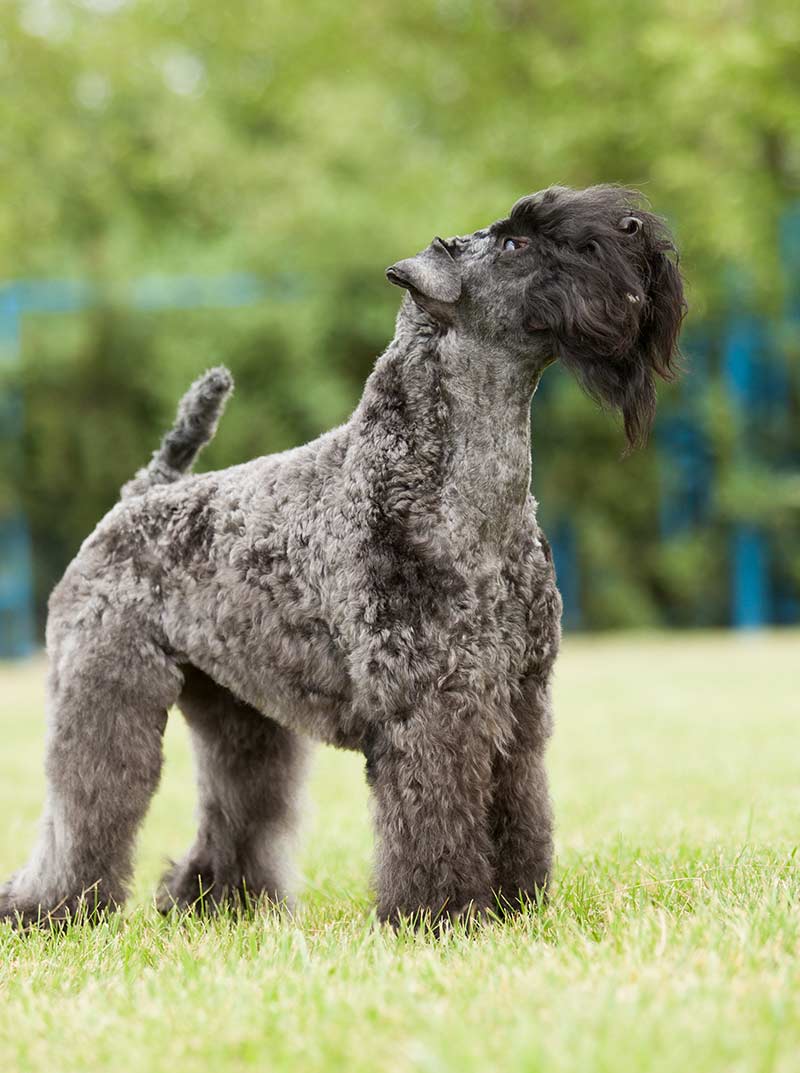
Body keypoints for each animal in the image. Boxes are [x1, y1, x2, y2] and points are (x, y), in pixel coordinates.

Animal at [1, 186, 686, 931]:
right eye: (515, 244)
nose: (636, 229)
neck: (452, 485)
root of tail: (139, 495)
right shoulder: (429, 705)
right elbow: (434, 815)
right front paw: (440, 914)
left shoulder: (519, 702)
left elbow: (518, 806)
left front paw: (513, 905)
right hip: (105, 690)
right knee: (85, 805)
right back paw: (45, 908)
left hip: (241, 716)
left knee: (239, 803)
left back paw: (220, 900)